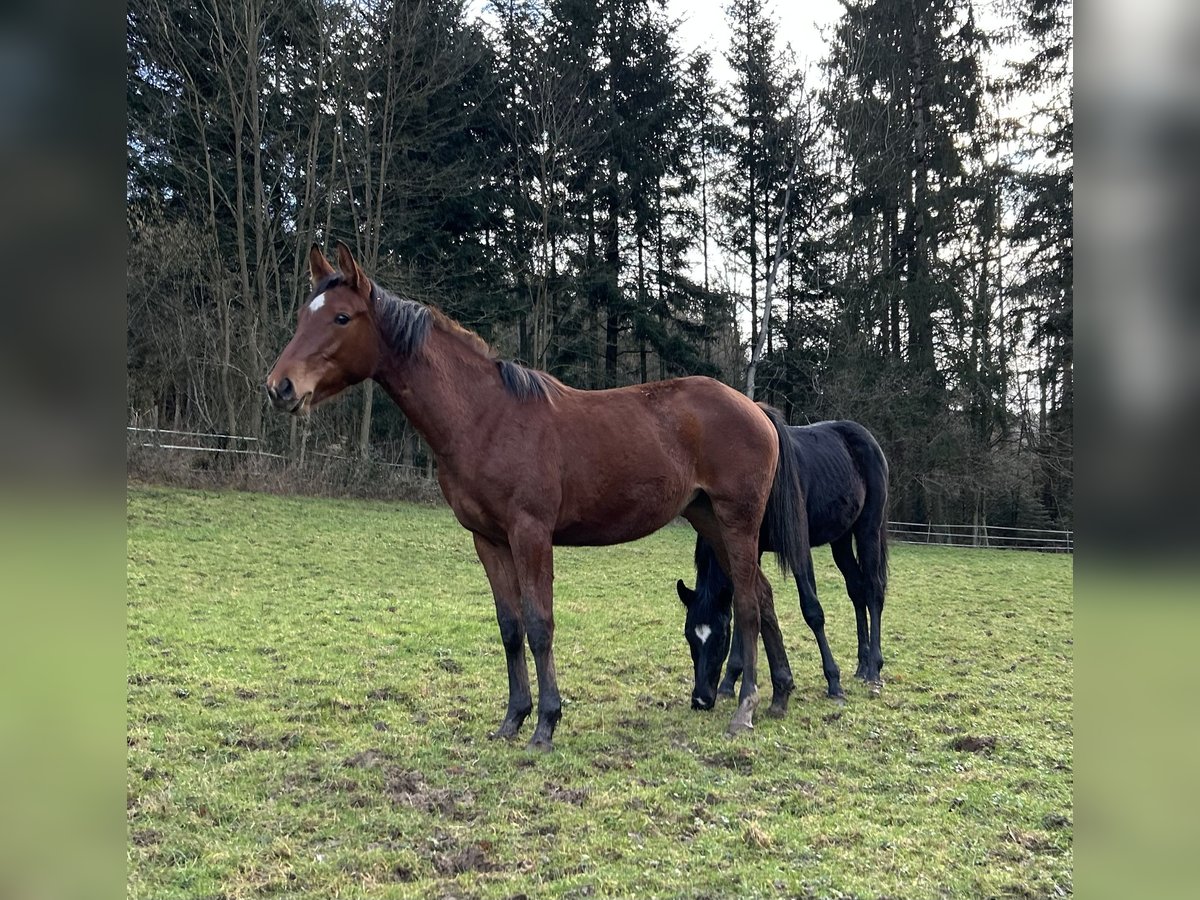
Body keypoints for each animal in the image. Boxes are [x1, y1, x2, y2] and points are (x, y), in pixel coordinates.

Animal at [265, 240, 810, 751]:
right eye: (303, 314)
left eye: (341, 317)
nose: (280, 387)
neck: (485, 417)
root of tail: (755, 409)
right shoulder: (488, 539)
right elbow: (510, 627)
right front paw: (512, 719)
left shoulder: (531, 534)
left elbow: (539, 622)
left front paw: (546, 723)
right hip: (708, 519)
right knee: (762, 595)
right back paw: (779, 695)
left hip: (737, 521)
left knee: (747, 603)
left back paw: (745, 709)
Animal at [675, 420, 889, 710]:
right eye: (689, 635)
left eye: (720, 637)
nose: (700, 699)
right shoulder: (749, 549)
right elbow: (746, 609)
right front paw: (730, 681)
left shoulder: (798, 547)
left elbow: (812, 611)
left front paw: (833, 682)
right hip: (841, 538)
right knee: (856, 590)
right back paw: (862, 663)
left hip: (868, 529)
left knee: (873, 590)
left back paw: (874, 668)